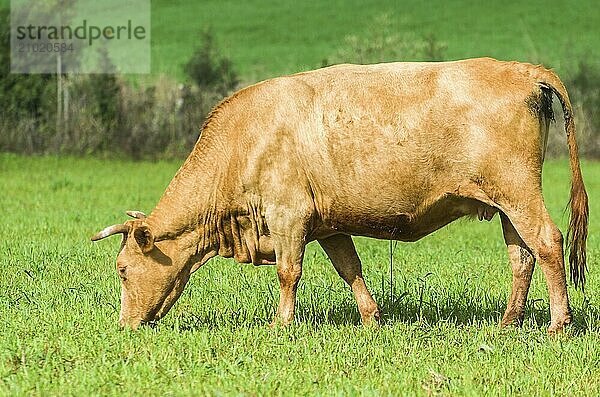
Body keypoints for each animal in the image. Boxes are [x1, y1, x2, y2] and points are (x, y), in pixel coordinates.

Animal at [91, 57, 588, 332]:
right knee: (522, 257)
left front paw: (281, 324)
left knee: (548, 243)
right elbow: (351, 269)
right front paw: (372, 319)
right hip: (503, 203)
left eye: (122, 269)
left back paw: (558, 325)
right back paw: (507, 323)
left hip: (518, 190)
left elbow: (288, 273)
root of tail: (521, 69)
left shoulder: (288, 215)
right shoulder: (328, 225)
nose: (126, 326)